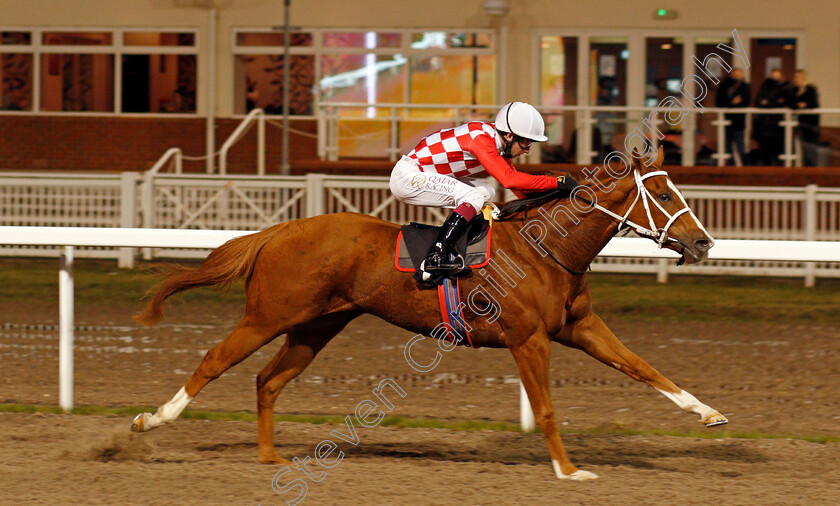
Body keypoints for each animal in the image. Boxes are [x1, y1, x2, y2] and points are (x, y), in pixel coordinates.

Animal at [133, 148, 728, 480]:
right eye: (662, 194)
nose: (703, 243)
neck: (545, 248)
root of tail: (280, 230)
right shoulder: (528, 339)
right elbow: (547, 409)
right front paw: (569, 470)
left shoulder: (578, 328)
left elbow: (644, 368)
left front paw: (708, 413)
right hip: (269, 315)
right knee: (215, 359)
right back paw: (150, 421)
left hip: (318, 324)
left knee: (268, 380)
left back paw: (269, 457)